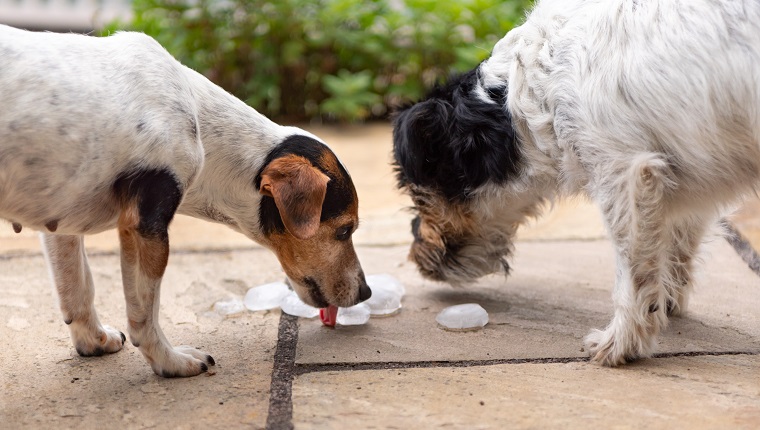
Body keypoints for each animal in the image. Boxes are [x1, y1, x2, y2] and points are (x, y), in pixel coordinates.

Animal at [0, 25, 368, 378]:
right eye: (344, 230)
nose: (366, 292)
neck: (199, 121)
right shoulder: (145, 226)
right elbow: (145, 312)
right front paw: (170, 361)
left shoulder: (60, 223)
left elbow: (77, 288)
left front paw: (93, 340)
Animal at [394, 0, 756, 366]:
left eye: (417, 194)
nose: (413, 254)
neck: (533, 86)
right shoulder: (688, 182)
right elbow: (677, 244)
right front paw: (665, 304)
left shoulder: (625, 173)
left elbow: (633, 269)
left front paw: (622, 343)